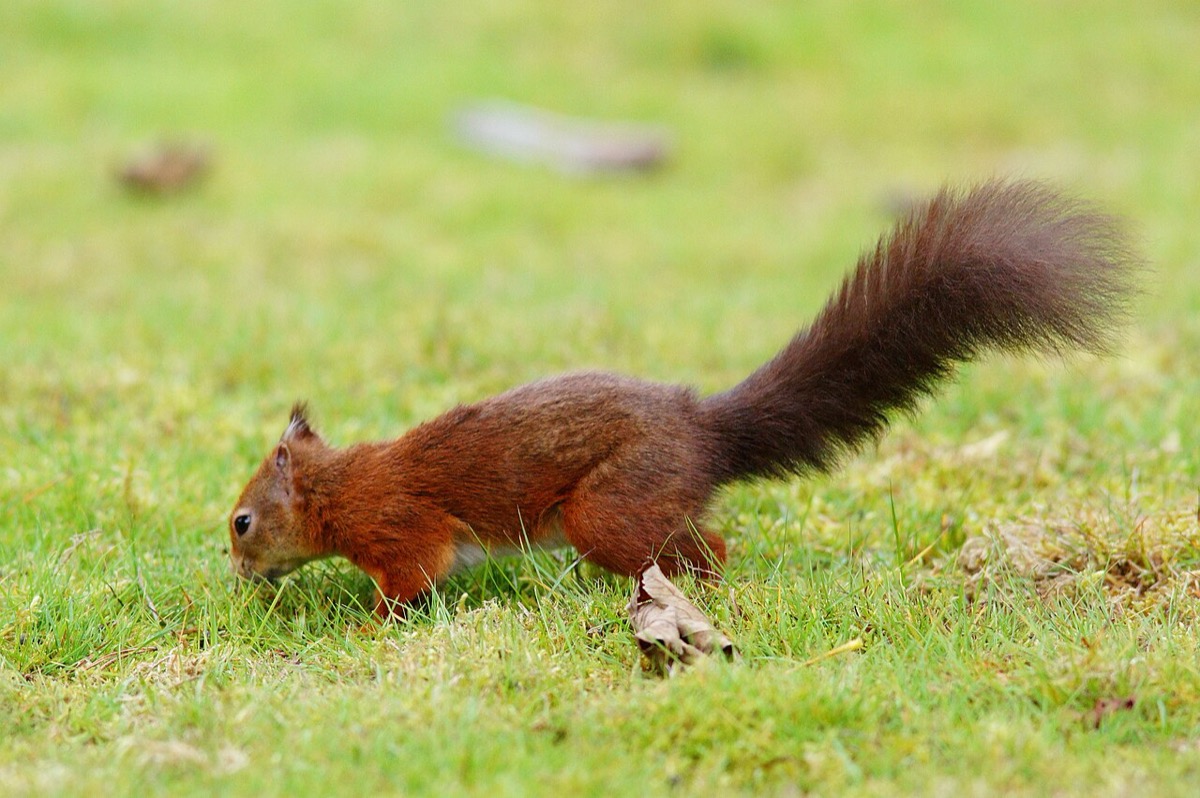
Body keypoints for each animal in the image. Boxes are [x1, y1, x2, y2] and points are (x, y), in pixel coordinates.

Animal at [228, 180, 1137, 615]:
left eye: (241, 521)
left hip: (608, 507)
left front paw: (370, 621)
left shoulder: (398, 524)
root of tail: (707, 429)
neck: (338, 486)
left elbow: (412, 578)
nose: (236, 576)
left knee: (705, 549)